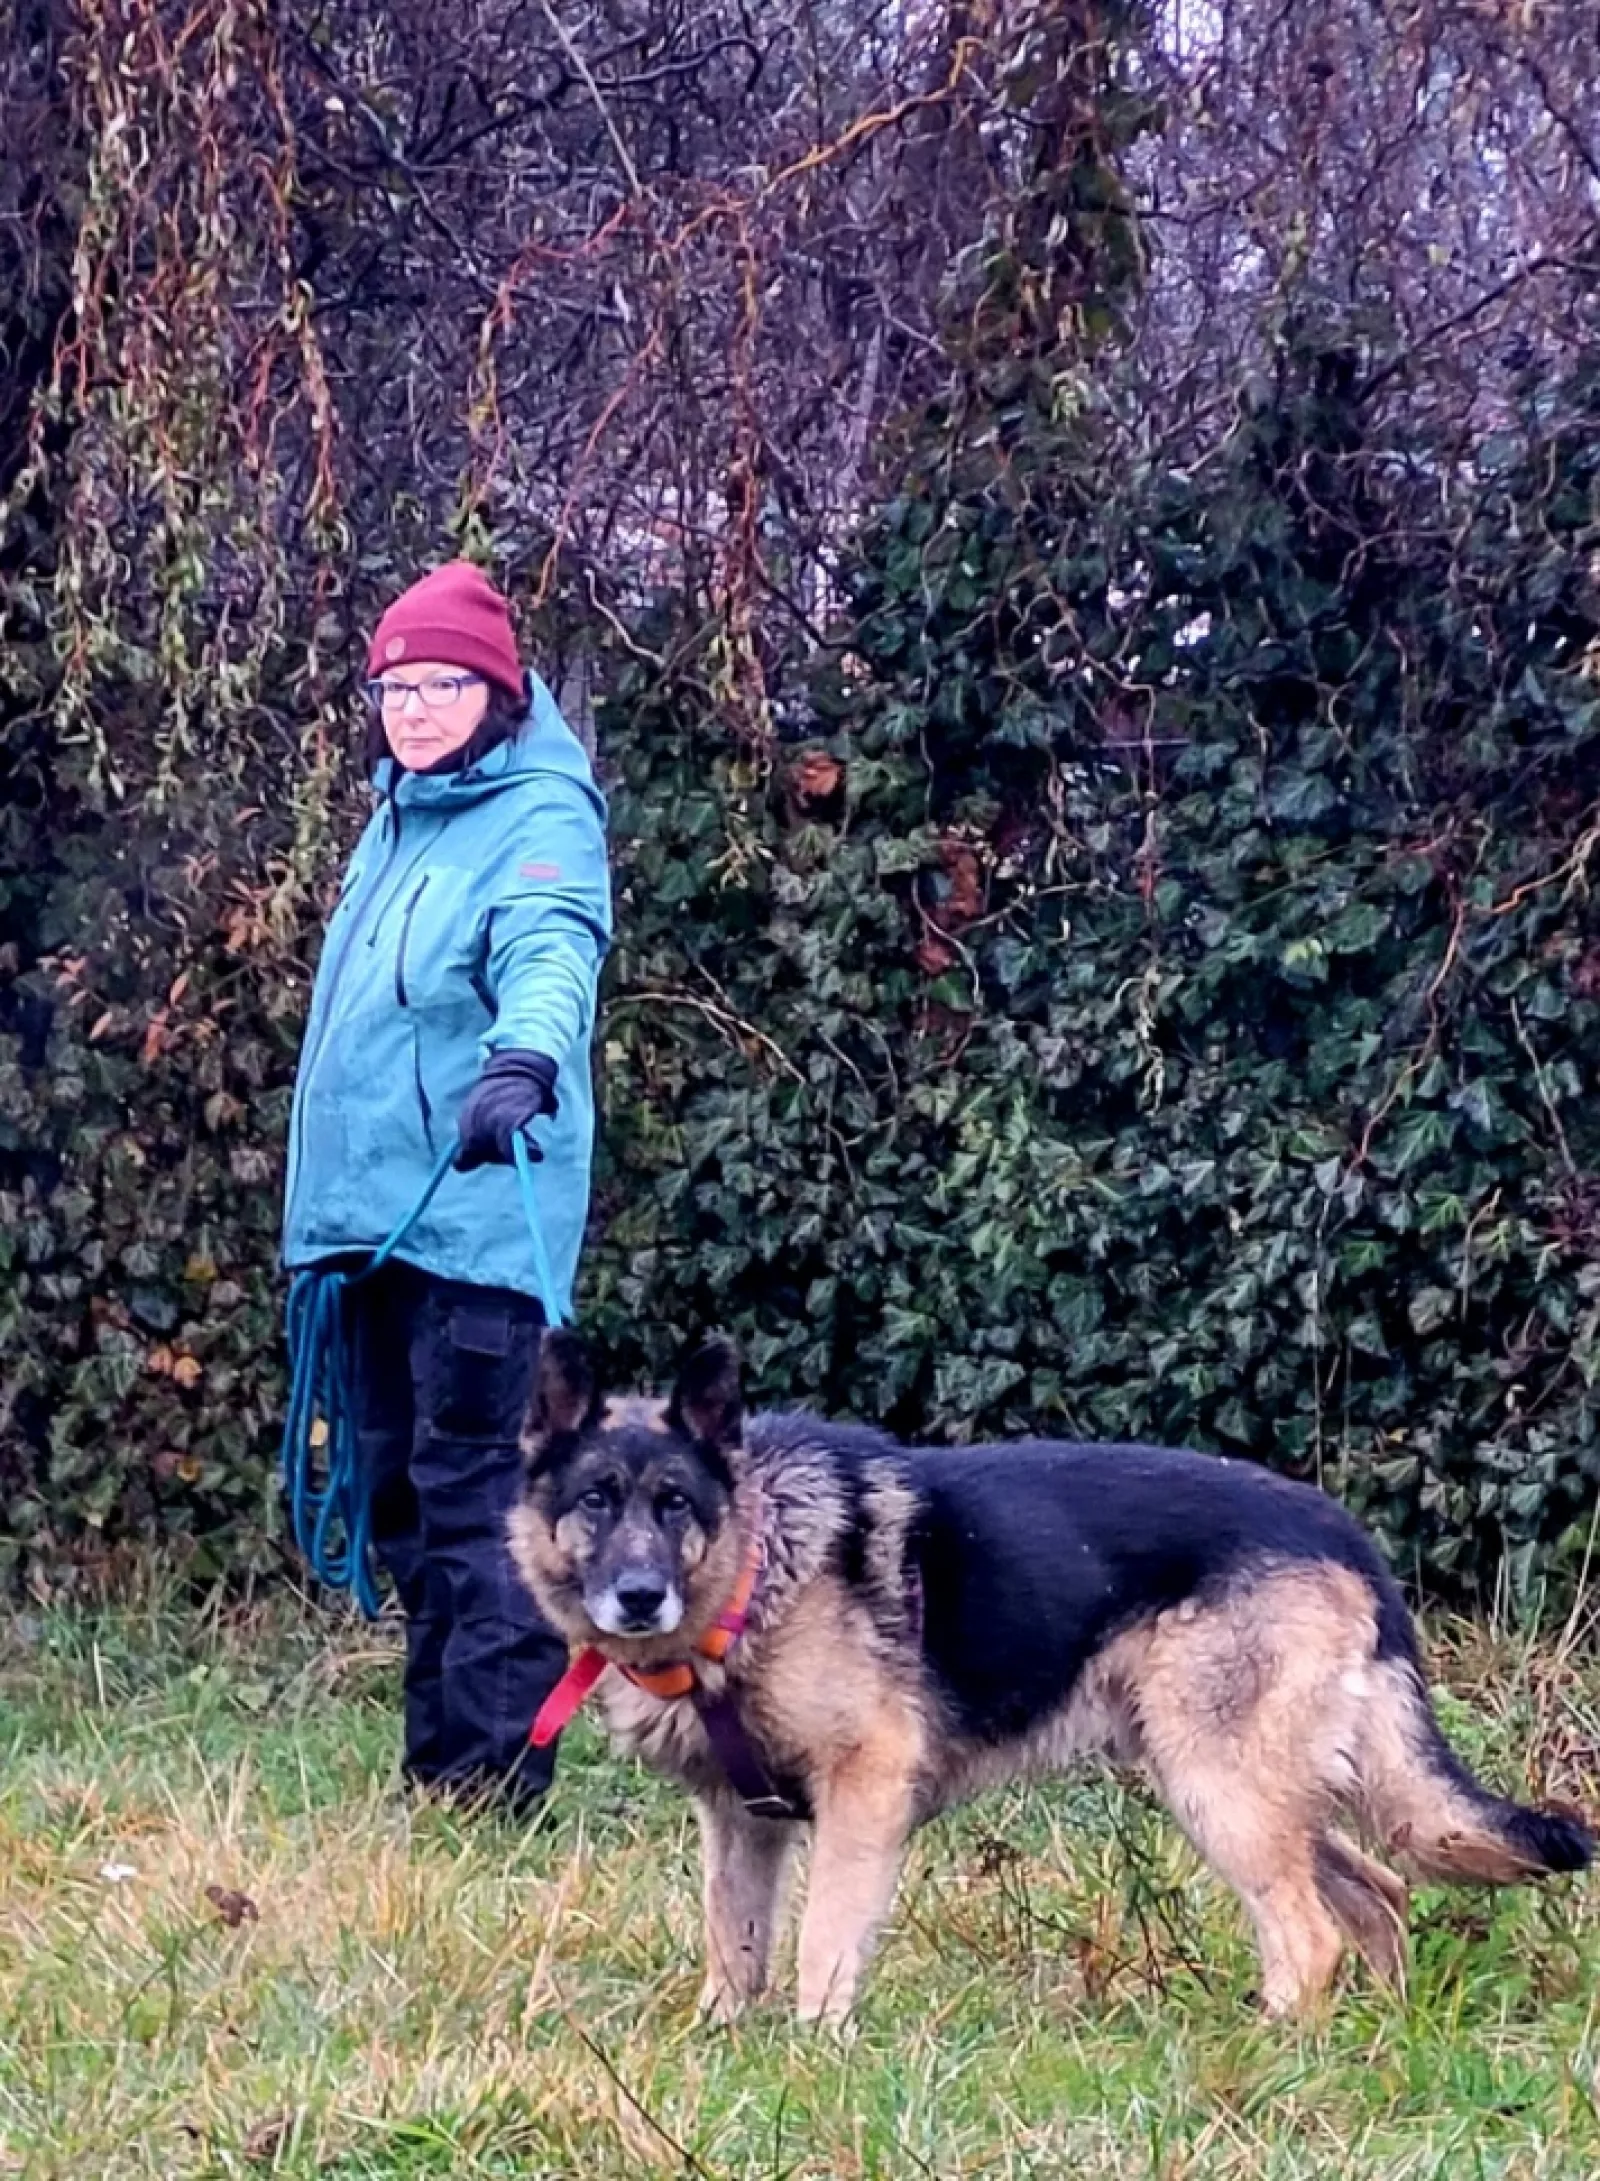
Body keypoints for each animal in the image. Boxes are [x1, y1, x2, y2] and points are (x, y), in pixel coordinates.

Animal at [509, 1332, 1592, 2027]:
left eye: (675, 1503)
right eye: (595, 1500)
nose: (638, 1598)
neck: (757, 1565)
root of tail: (1346, 1537)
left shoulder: (864, 1792)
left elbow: (822, 1940)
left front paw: (816, 2051)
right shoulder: (742, 1820)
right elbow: (733, 1945)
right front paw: (724, 2044)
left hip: (1220, 1789)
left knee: (1309, 1935)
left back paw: (1270, 2052)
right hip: (1242, 1787)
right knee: (1376, 1894)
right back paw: (1376, 2044)